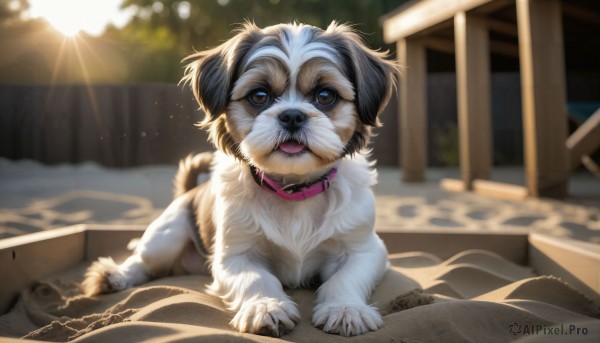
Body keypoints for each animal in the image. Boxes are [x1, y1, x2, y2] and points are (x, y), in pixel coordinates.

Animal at [79, 22, 398, 338]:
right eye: (259, 96)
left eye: (325, 96)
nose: (292, 116)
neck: (293, 189)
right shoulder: (234, 256)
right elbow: (256, 278)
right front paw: (266, 307)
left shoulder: (364, 249)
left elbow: (344, 278)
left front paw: (345, 308)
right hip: (166, 236)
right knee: (143, 261)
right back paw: (116, 276)